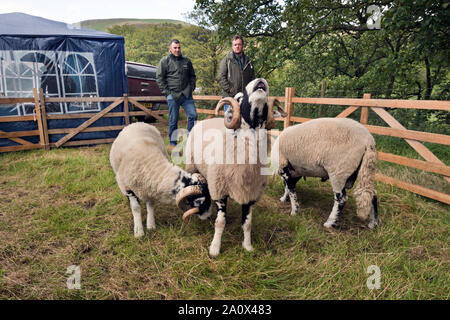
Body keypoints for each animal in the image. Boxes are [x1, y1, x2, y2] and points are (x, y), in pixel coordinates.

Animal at [186, 78, 288, 258]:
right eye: (239, 98)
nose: (260, 80)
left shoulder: (251, 194)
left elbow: (247, 223)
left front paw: (247, 246)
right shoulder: (220, 190)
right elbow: (220, 222)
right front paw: (214, 249)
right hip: (193, 167)